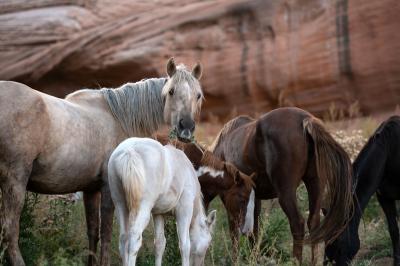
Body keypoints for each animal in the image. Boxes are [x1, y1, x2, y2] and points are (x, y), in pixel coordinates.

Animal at [107, 138, 216, 266]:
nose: (200, 264)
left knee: (123, 239)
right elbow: (185, 245)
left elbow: (160, 243)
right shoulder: (184, 210)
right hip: (143, 208)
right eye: (208, 243)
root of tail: (130, 151)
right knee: (134, 239)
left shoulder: (158, 213)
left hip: (120, 204)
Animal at [209, 107, 354, 264]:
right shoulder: (254, 199)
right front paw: (253, 258)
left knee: (298, 224)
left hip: (286, 194)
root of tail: (305, 120)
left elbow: (235, 232)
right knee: (313, 223)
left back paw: (295, 261)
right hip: (315, 185)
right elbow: (253, 229)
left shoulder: (231, 201)